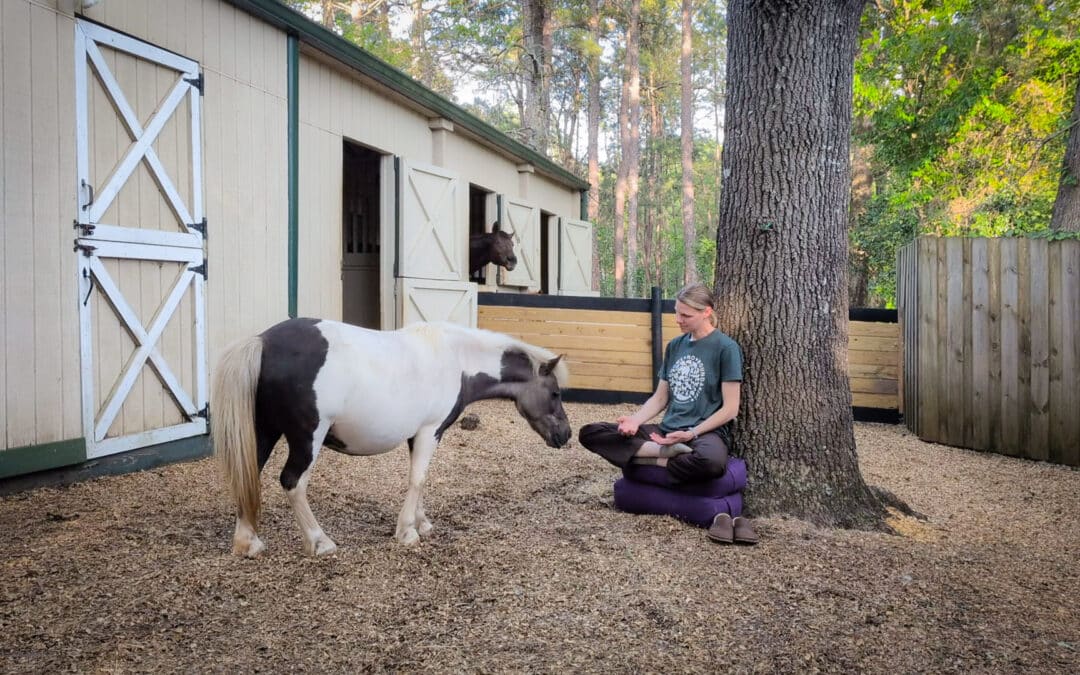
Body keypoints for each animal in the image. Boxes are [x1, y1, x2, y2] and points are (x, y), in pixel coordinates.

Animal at [211, 318, 571, 558]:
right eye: (554, 393)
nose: (566, 434)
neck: (456, 359)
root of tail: (263, 341)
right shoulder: (430, 430)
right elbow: (418, 478)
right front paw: (407, 532)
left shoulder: (419, 434)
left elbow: (420, 479)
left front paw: (421, 523)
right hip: (306, 438)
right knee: (292, 482)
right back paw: (320, 542)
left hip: (264, 431)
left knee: (250, 474)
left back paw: (248, 543)